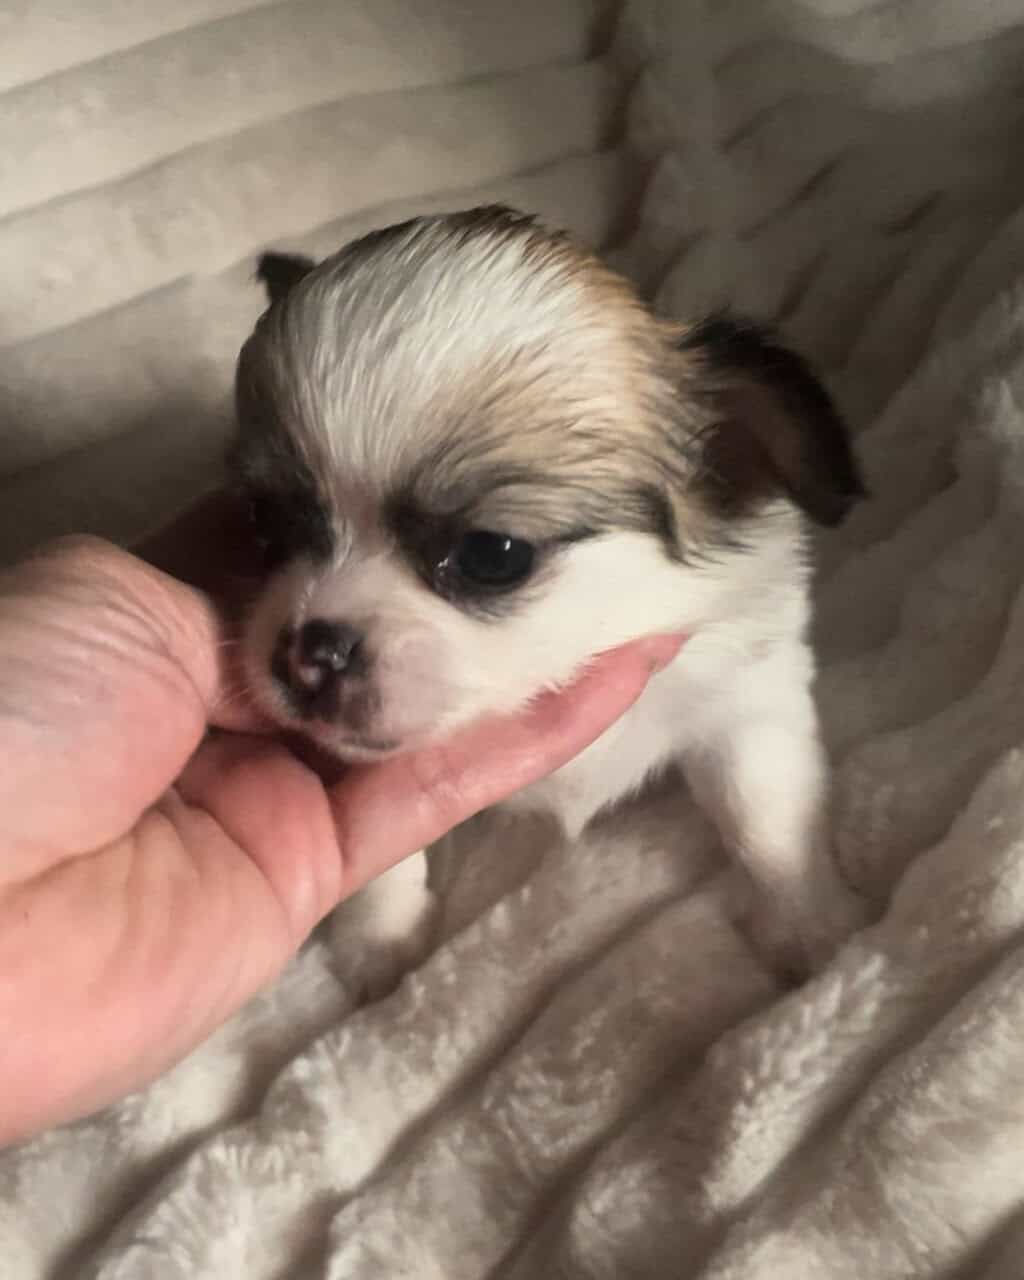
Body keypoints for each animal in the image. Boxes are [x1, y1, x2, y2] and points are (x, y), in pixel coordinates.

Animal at [229, 205, 867, 996]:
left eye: (492, 555)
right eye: (264, 521)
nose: (309, 651)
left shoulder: (745, 697)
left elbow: (769, 816)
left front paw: (811, 923)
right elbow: (380, 866)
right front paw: (377, 944)